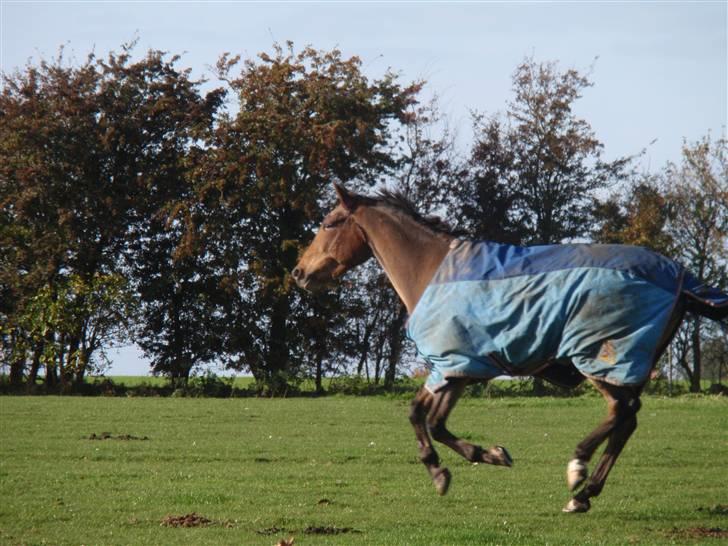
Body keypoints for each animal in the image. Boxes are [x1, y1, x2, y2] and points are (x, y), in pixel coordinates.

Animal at [292, 182, 728, 510]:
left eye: (328, 223)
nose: (299, 272)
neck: (433, 270)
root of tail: (681, 277)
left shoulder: (449, 365)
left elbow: (423, 420)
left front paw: (442, 471)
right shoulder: (457, 368)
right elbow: (431, 420)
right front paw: (486, 456)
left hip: (599, 358)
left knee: (622, 412)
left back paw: (578, 468)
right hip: (618, 365)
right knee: (627, 420)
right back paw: (584, 496)